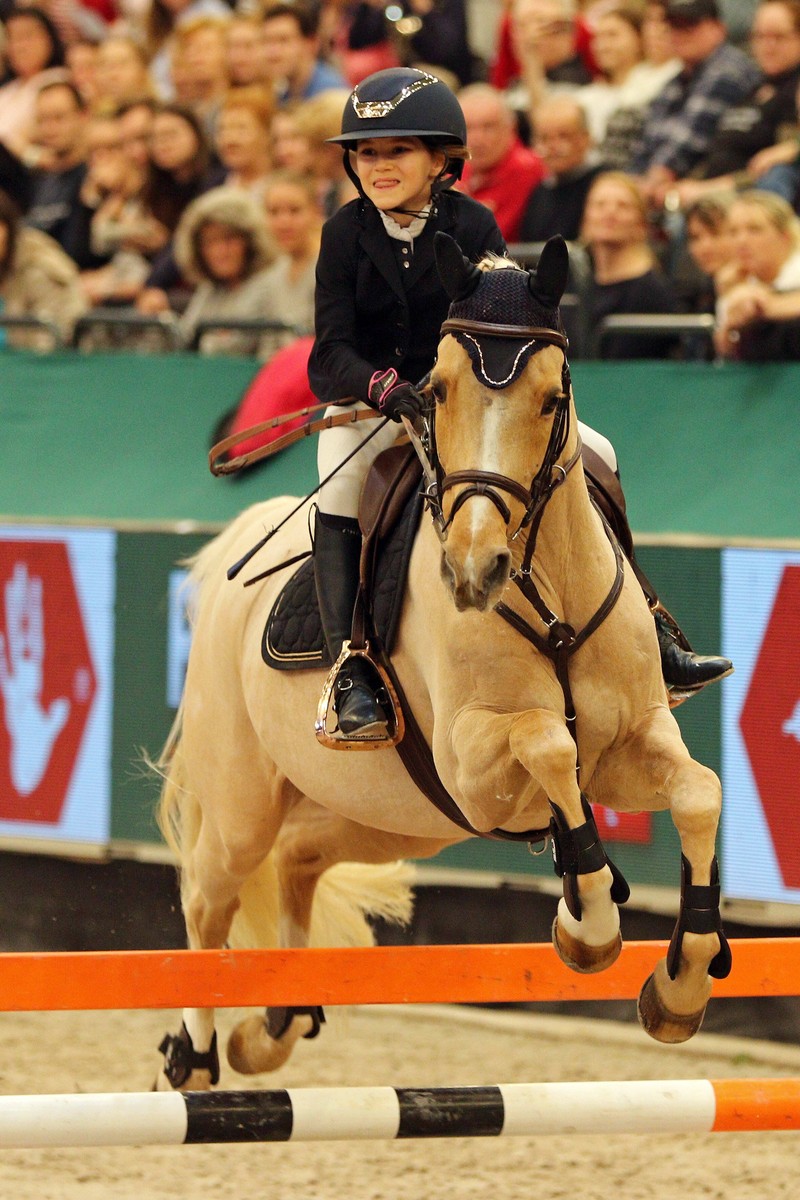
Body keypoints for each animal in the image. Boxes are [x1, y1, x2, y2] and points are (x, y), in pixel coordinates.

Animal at [153, 231, 729, 1089]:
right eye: (442, 390)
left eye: (552, 398)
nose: (473, 568)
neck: (545, 587)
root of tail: (232, 543)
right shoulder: (475, 765)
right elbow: (547, 743)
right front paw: (588, 924)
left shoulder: (629, 744)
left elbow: (699, 793)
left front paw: (680, 983)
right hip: (243, 806)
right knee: (208, 898)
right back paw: (194, 1053)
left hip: (390, 816)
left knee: (298, 858)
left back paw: (276, 1022)